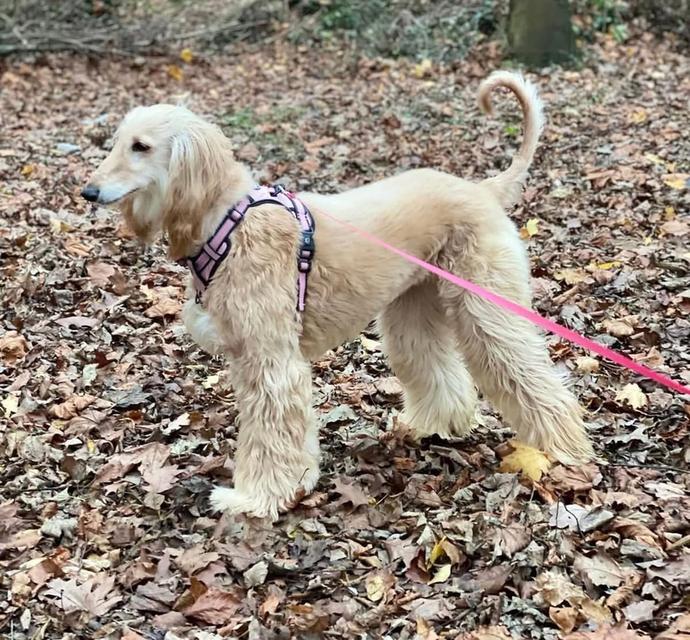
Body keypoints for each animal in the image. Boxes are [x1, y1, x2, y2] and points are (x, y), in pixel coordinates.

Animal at [82, 71, 592, 520]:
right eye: (116, 141)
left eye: (141, 146)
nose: (88, 190)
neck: (229, 223)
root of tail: (483, 190)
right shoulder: (250, 358)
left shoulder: (272, 362)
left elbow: (270, 435)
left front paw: (256, 499)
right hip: (413, 310)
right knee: (436, 369)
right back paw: (435, 426)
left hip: (486, 308)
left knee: (530, 377)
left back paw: (566, 451)